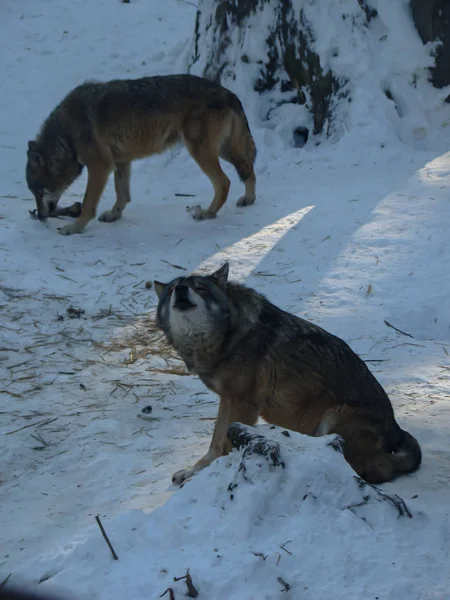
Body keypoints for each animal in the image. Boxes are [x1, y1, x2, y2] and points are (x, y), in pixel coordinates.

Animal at [25, 74, 256, 236]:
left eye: (39, 192)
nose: (41, 217)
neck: (66, 135)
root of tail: (228, 93)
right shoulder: (120, 161)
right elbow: (122, 194)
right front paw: (114, 215)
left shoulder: (100, 166)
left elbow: (88, 203)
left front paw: (75, 228)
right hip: (224, 151)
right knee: (249, 169)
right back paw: (249, 199)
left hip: (200, 151)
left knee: (224, 182)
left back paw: (208, 213)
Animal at [155, 264, 422, 488]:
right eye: (172, 290)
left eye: (199, 288)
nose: (180, 289)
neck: (226, 335)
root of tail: (397, 430)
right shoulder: (227, 399)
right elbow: (216, 443)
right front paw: (193, 472)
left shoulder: (244, 403)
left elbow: (227, 443)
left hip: (335, 418)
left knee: (378, 468)